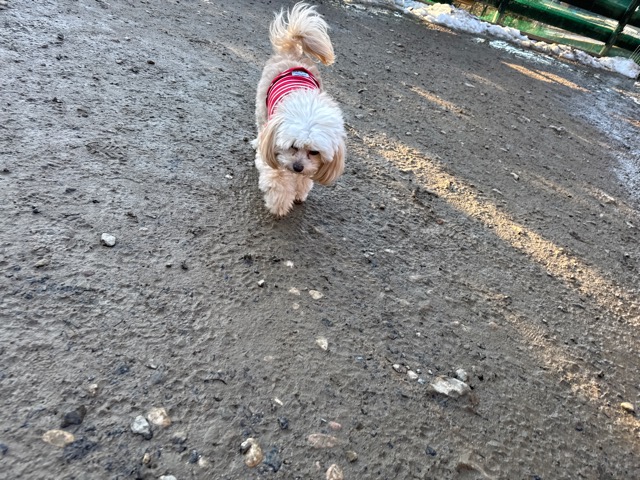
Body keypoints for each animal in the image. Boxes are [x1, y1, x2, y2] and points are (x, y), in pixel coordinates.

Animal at [254, 2, 346, 217]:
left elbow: (306, 177)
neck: (308, 104)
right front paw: (279, 204)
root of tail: (294, 52)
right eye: (293, 146)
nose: (297, 167)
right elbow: (278, 180)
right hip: (262, 108)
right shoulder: (274, 154)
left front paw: (300, 191)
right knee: (260, 127)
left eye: (314, 152)